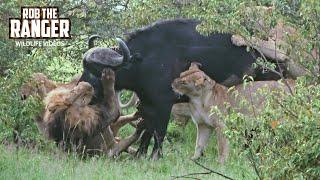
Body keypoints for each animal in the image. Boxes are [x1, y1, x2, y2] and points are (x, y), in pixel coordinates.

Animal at [79, 18, 284, 159]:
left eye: (96, 73)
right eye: (84, 69)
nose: (85, 91)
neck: (144, 61)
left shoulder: (164, 104)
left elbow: (159, 131)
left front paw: (156, 156)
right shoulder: (148, 105)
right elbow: (146, 129)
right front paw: (140, 155)